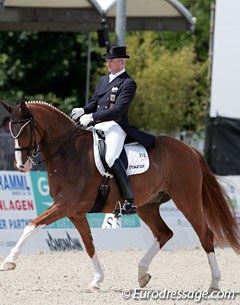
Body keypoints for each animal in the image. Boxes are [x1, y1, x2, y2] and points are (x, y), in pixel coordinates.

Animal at [0, 100, 240, 290]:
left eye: (24, 131)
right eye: (11, 130)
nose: (21, 166)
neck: (69, 153)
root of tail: (189, 149)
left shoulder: (65, 205)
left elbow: (32, 225)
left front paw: (9, 261)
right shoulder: (74, 212)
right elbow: (89, 244)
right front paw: (97, 279)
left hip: (187, 200)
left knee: (205, 235)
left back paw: (214, 283)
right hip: (147, 206)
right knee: (164, 233)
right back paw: (142, 274)